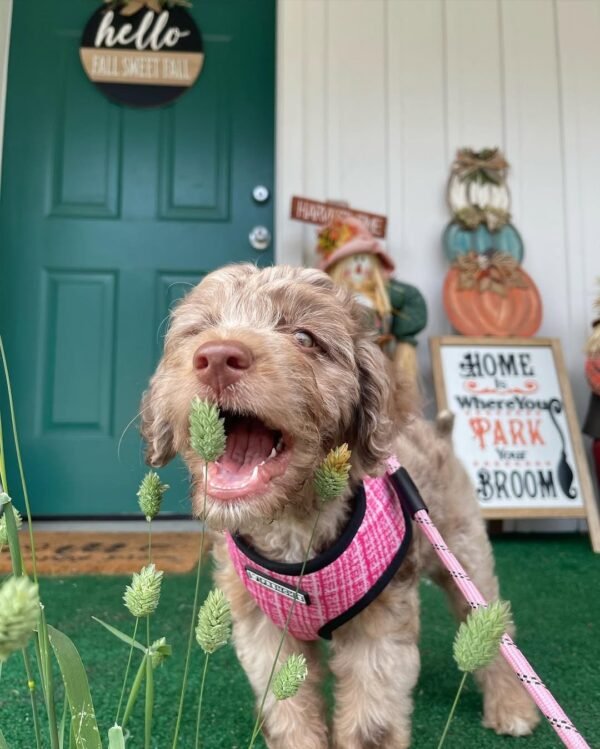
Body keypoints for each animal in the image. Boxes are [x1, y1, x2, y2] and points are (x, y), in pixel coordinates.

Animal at [142, 260, 540, 744]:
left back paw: (512, 707)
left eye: (304, 338)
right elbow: (287, 705)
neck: (295, 526)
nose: (216, 357)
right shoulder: (263, 628)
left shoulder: (379, 627)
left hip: (463, 553)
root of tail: (437, 433)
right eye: (199, 330)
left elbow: (373, 718)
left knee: (492, 631)